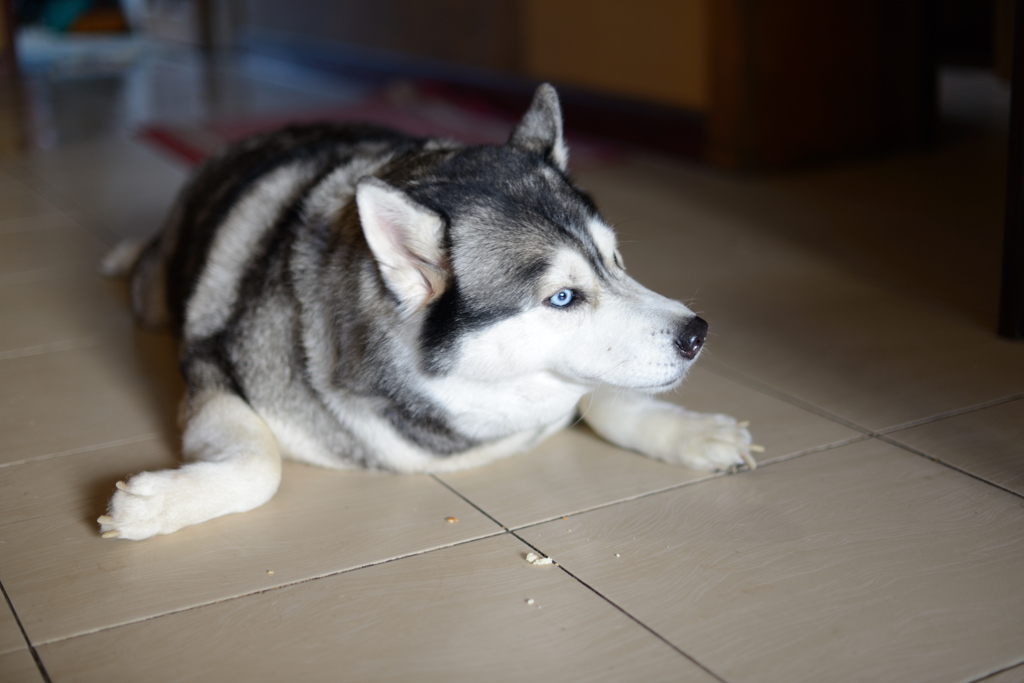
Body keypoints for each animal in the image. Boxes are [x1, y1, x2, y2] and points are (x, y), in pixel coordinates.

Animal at [99, 85, 757, 540]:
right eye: (563, 297)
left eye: (616, 260)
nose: (697, 334)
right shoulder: (211, 363)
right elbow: (262, 464)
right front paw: (153, 506)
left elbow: (609, 395)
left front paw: (691, 431)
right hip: (155, 297)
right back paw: (126, 252)